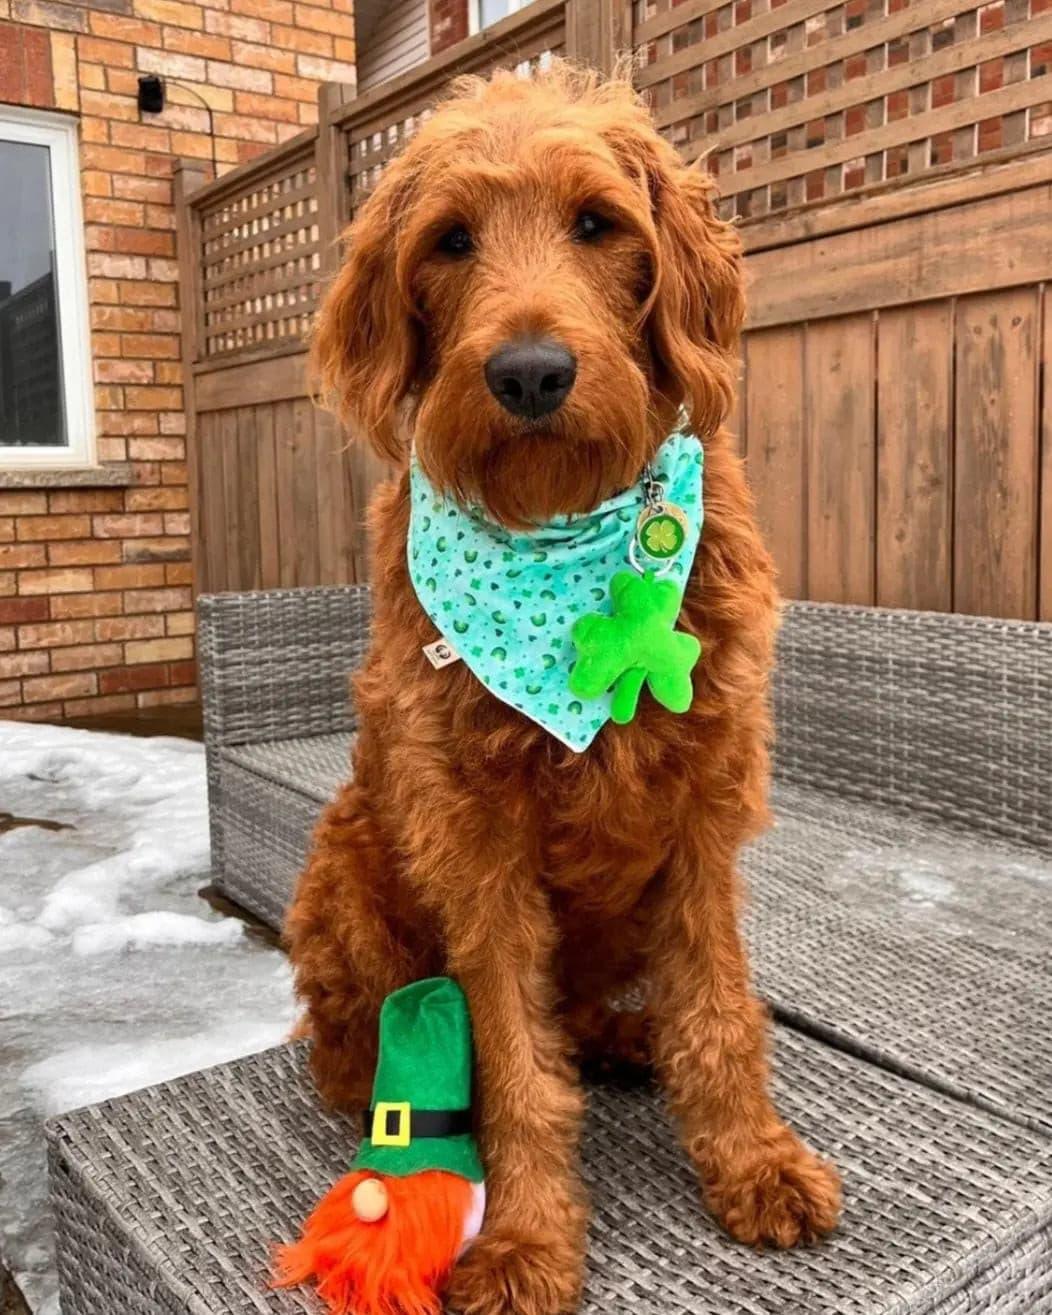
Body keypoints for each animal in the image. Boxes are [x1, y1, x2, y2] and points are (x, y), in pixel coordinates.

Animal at [284, 61, 841, 1315]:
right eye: (449, 241)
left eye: (596, 223)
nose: (529, 372)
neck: (560, 532)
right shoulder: (471, 840)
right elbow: (512, 1064)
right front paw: (527, 1239)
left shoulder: (701, 810)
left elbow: (719, 1010)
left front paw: (752, 1162)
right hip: (348, 864)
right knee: (359, 1055)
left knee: (613, 1012)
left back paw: (628, 1039)